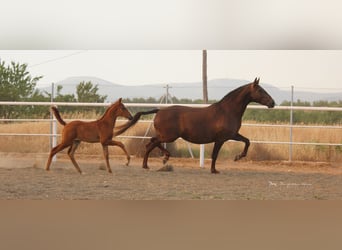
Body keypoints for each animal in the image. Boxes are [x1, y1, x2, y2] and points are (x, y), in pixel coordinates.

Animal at [115, 77, 276, 173]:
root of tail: (159, 110)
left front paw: (237, 157)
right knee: (151, 143)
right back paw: (153, 162)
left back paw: (157, 161)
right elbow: (215, 154)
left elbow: (247, 141)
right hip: (169, 136)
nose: (272, 103)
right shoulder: (222, 138)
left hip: (166, 136)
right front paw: (215, 169)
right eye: (260, 90)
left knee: (152, 142)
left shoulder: (232, 135)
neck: (227, 110)